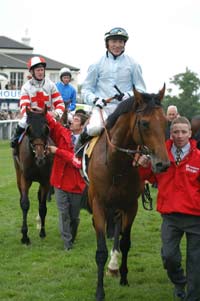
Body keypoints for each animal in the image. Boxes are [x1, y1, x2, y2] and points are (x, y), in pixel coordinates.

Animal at [12, 106, 52, 243]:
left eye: (46, 129)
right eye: (29, 130)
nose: (40, 159)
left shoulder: (45, 180)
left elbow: (42, 207)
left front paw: (43, 232)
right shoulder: (25, 178)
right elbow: (25, 204)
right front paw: (24, 235)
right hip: (18, 173)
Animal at [86, 84, 170, 300]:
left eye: (166, 122)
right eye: (144, 123)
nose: (163, 164)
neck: (116, 164)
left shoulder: (130, 205)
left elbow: (125, 243)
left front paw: (123, 276)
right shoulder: (98, 203)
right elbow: (100, 250)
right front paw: (99, 291)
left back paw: (114, 266)